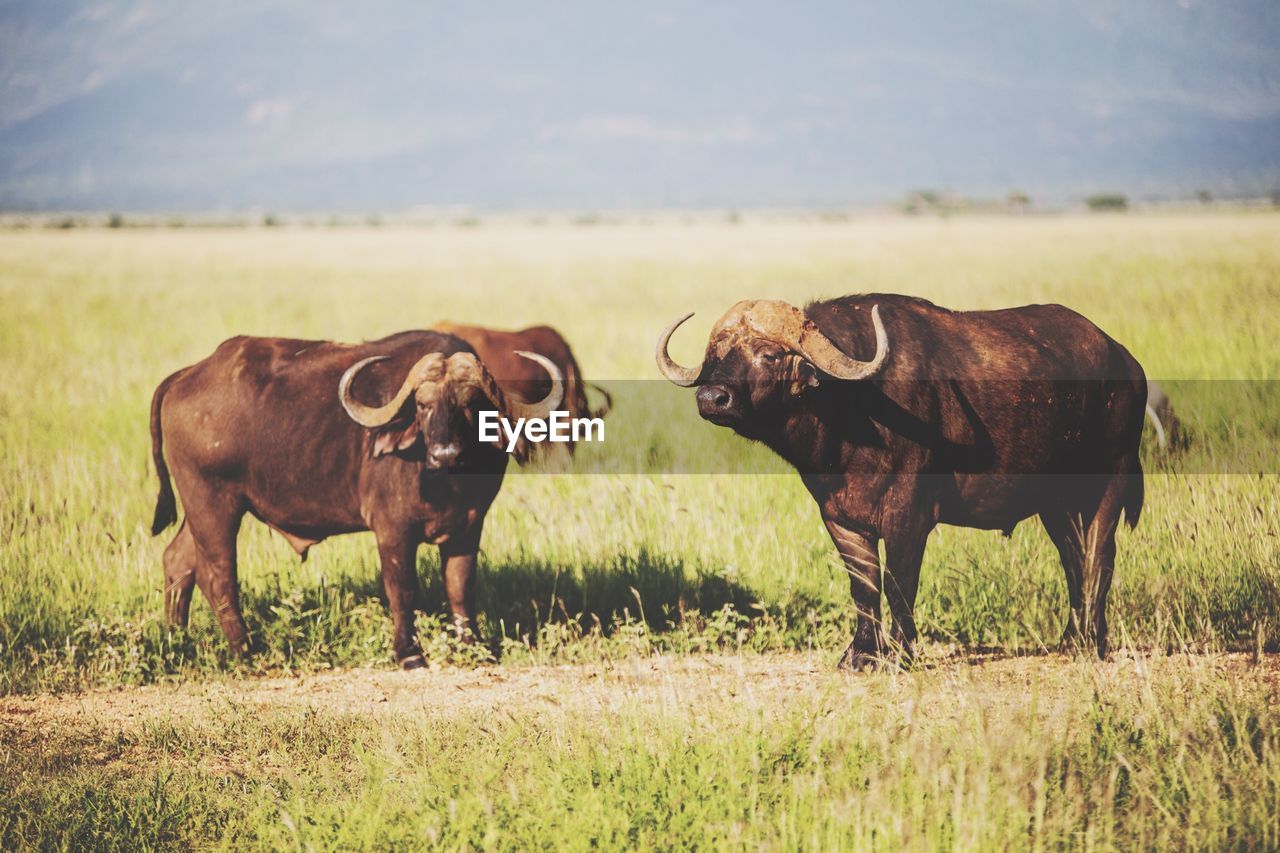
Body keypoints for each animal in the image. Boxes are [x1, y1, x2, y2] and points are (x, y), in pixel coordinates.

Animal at [149, 327, 560, 666]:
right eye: (423, 404)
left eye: (470, 404)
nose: (445, 453)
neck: (446, 484)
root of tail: (186, 375)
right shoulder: (392, 531)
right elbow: (402, 589)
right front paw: (408, 653)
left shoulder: (468, 527)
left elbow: (460, 587)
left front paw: (471, 646)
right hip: (214, 502)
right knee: (217, 574)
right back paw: (246, 651)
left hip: (201, 509)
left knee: (178, 560)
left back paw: (176, 639)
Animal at [655, 292, 1146, 666]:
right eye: (717, 356)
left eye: (770, 354)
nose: (712, 398)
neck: (853, 414)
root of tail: (1125, 362)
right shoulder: (841, 519)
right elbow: (863, 584)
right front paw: (860, 655)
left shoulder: (908, 516)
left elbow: (899, 582)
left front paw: (902, 653)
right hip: (1056, 505)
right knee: (1073, 558)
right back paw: (1072, 640)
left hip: (1111, 481)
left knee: (1099, 557)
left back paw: (1091, 644)